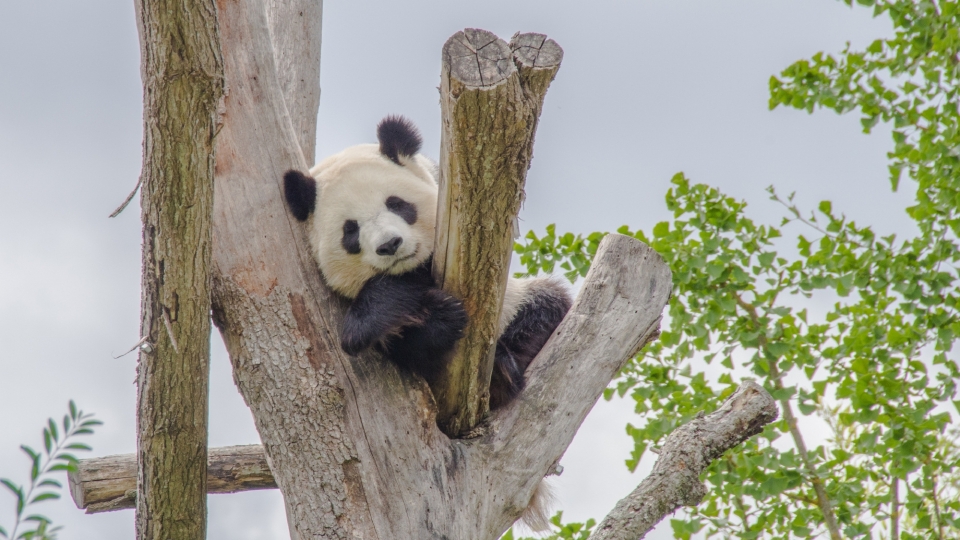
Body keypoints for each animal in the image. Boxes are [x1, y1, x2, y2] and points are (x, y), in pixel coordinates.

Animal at [284, 116, 568, 528]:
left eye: (397, 204)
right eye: (350, 230)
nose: (389, 245)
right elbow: (389, 338)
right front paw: (426, 316)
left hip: (519, 303)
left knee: (548, 305)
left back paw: (501, 374)